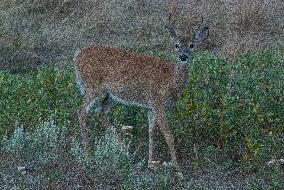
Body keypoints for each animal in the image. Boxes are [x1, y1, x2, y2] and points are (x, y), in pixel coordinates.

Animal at [74, 14, 210, 172]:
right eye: (176, 45)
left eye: (192, 45)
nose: (183, 56)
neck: (170, 80)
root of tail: (77, 55)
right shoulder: (157, 102)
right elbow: (168, 134)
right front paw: (177, 168)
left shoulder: (150, 107)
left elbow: (151, 132)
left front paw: (151, 163)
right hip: (93, 87)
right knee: (81, 111)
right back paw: (88, 157)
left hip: (110, 95)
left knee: (100, 112)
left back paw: (124, 152)